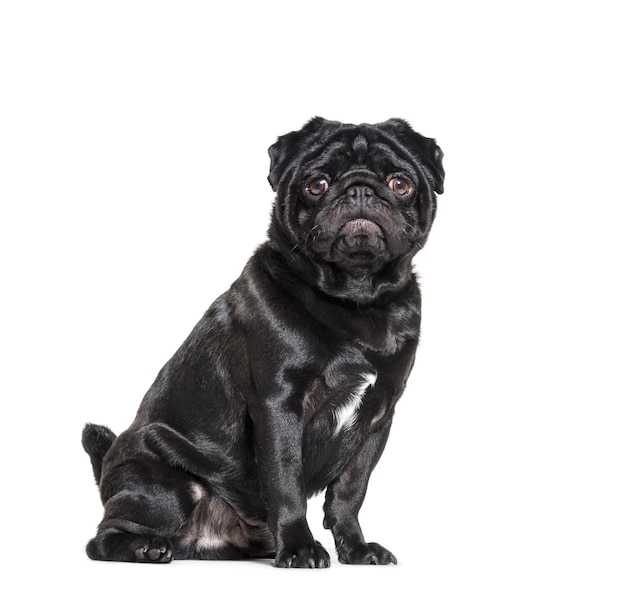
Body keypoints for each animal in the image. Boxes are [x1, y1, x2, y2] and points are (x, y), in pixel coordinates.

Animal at [83, 115, 442, 564]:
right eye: (317, 184)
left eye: (399, 184)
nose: (360, 188)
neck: (357, 299)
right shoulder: (278, 406)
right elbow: (286, 484)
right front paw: (301, 547)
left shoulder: (378, 415)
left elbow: (350, 492)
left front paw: (357, 549)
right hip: (167, 488)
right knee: (101, 538)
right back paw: (146, 547)